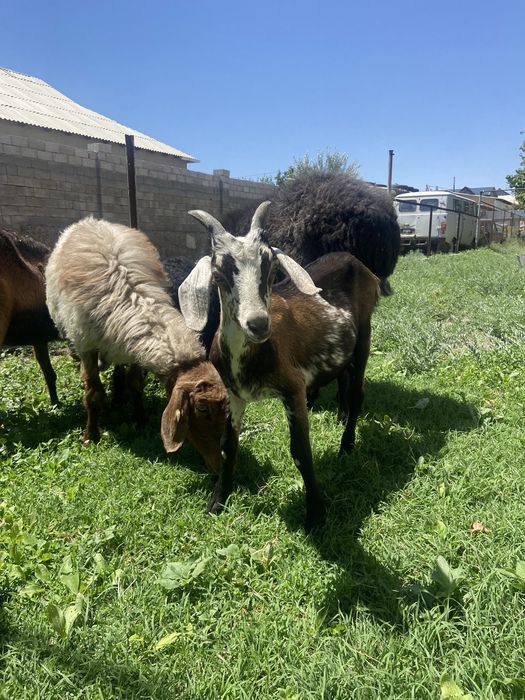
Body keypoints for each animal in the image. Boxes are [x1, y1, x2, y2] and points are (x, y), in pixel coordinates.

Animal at [45, 217, 228, 472]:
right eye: (202, 409)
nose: (220, 463)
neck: (131, 298)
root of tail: (90, 221)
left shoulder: (134, 352)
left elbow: (135, 385)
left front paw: (140, 419)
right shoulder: (87, 346)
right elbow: (92, 393)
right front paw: (91, 435)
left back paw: (118, 396)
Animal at [179, 203, 379, 531]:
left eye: (272, 272)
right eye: (218, 275)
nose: (258, 324)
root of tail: (355, 261)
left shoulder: (293, 389)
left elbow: (300, 452)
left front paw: (316, 515)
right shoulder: (235, 394)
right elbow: (227, 445)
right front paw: (217, 501)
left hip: (365, 331)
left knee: (359, 388)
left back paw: (347, 445)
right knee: (345, 375)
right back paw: (341, 416)